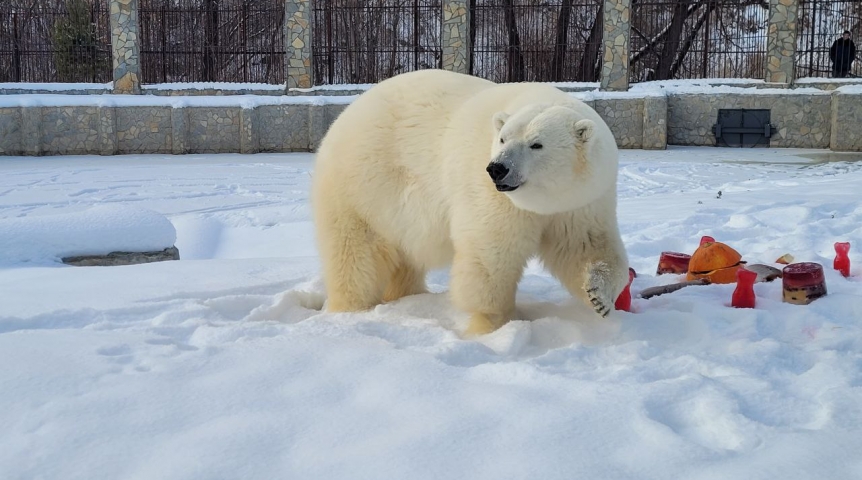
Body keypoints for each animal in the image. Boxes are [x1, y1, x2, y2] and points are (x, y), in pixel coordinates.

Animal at [314, 69, 632, 336]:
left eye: (536, 144)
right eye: (503, 138)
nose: (497, 168)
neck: (544, 200)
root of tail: (344, 115)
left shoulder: (583, 201)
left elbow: (585, 245)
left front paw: (599, 297)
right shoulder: (492, 195)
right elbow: (492, 251)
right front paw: (492, 323)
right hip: (363, 187)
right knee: (356, 254)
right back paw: (351, 308)